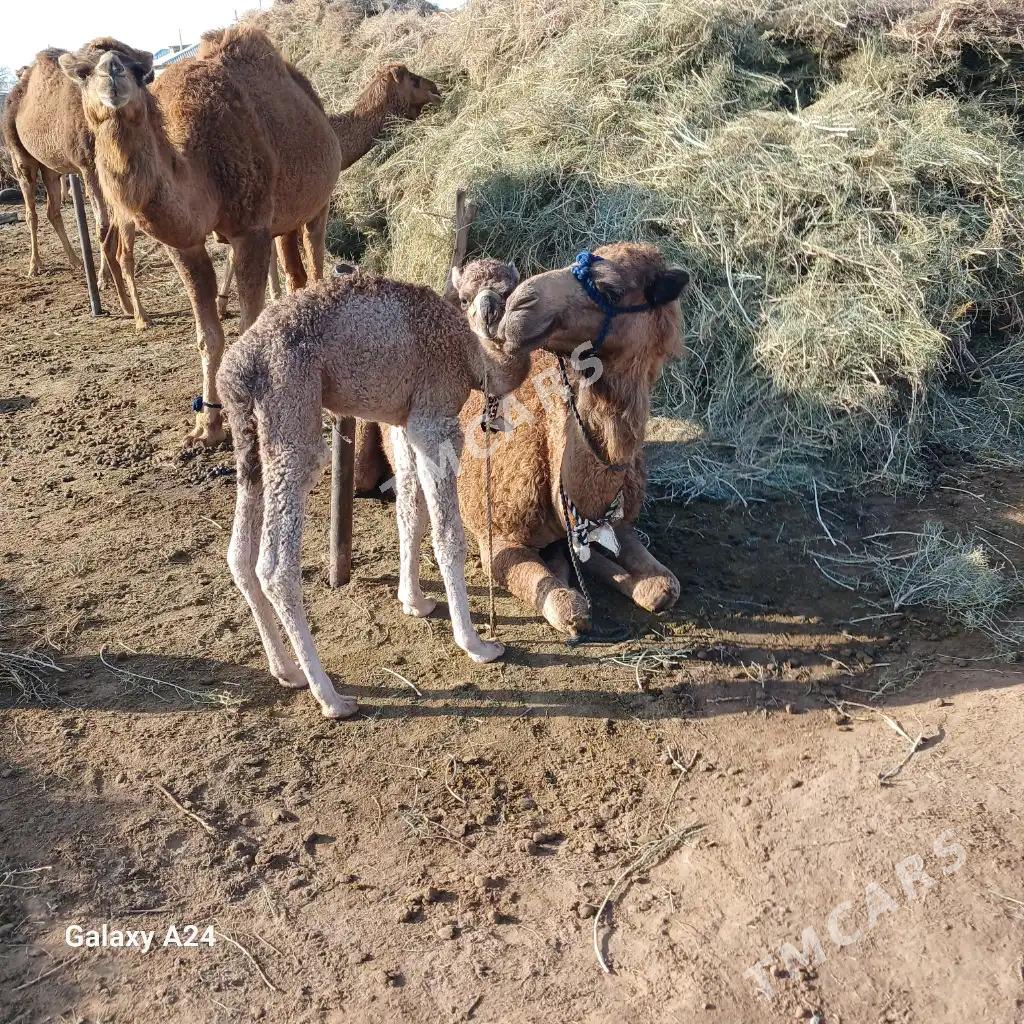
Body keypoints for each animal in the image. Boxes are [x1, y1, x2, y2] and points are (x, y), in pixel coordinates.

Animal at [0, 43, 149, 323]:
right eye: (84, 74)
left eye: (140, 72)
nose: (112, 71)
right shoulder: (88, 166)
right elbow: (101, 222)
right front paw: (102, 279)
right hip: (20, 157)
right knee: (31, 211)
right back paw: (35, 266)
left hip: (51, 168)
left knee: (53, 210)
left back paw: (76, 261)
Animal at [219, 264, 532, 720]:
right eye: (466, 296)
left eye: (507, 291)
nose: (489, 312)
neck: (472, 354)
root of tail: (238, 366)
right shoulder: (436, 416)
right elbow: (448, 535)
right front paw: (475, 644)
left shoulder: (403, 423)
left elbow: (411, 513)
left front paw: (415, 602)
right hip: (291, 408)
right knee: (275, 565)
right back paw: (331, 697)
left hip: (249, 435)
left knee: (239, 556)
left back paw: (287, 671)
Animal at [352, 244, 688, 634]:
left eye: (611, 290)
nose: (520, 306)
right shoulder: (498, 541)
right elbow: (567, 605)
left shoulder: (619, 523)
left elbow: (665, 586)